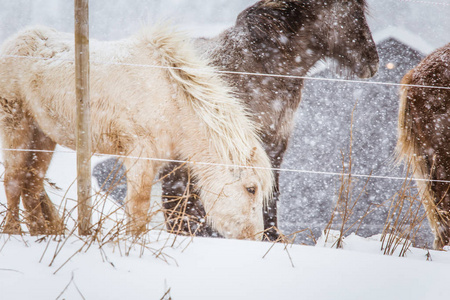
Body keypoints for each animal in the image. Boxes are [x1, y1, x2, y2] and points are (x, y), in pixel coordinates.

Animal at [0, 25, 274, 240]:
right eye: (251, 189)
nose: (254, 237)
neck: (170, 98)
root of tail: (15, 41)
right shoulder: (139, 156)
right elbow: (139, 208)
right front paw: (134, 245)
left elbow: (135, 210)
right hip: (16, 126)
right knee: (14, 181)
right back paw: (14, 232)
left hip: (42, 136)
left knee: (32, 185)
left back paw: (41, 235)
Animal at [160, 0, 378, 240]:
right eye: (357, 13)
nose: (373, 61)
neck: (261, 68)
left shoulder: (275, 142)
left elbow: (271, 189)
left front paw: (271, 235)